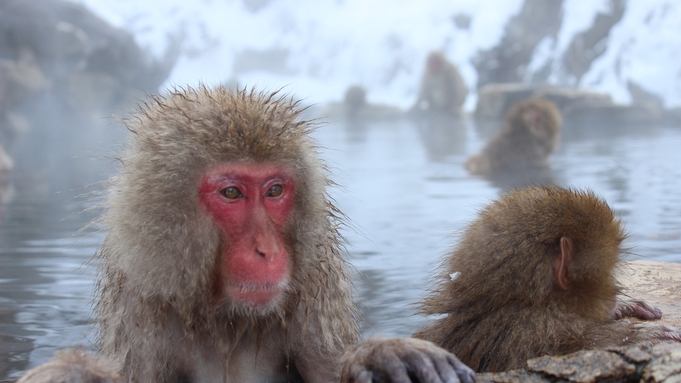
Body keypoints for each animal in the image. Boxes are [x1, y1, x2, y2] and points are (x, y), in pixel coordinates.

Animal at [89, 87, 472, 383]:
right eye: (231, 193)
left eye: (274, 190)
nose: (268, 250)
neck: (226, 322)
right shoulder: (139, 317)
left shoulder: (313, 298)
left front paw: (379, 356)